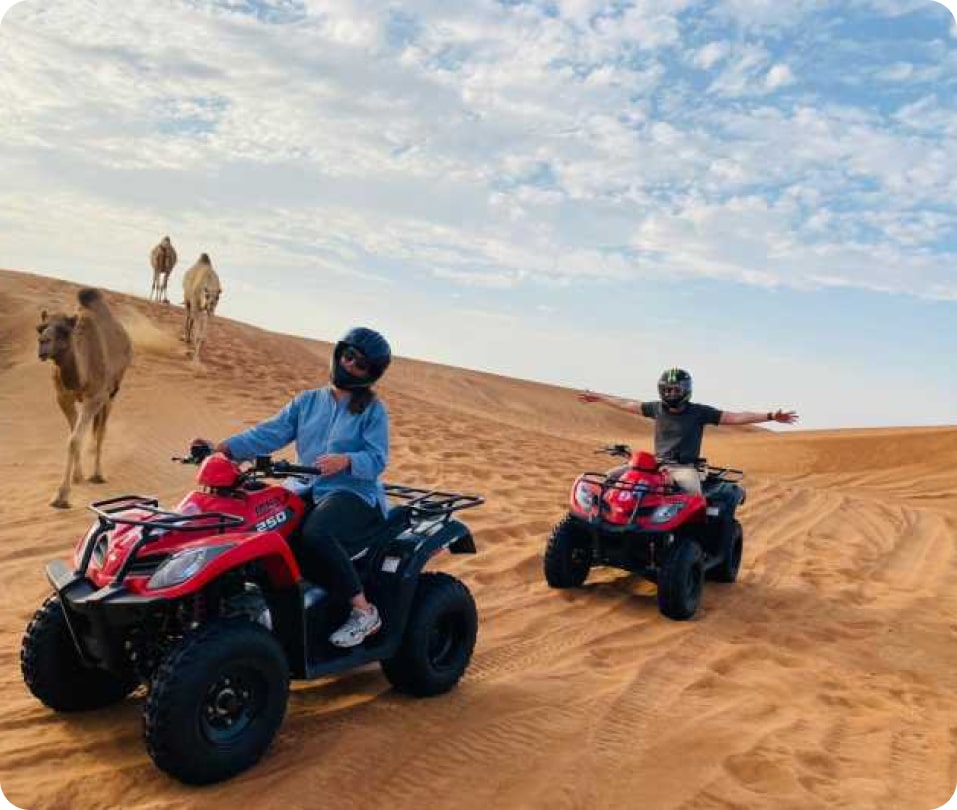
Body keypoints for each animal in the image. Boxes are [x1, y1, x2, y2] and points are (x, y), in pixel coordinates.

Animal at [36, 288, 134, 508]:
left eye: (64, 330)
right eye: (40, 328)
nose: (43, 343)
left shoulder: (95, 398)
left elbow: (75, 439)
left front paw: (62, 496)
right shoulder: (63, 397)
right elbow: (74, 435)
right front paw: (77, 477)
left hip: (112, 393)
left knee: (101, 431)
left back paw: (98, 474)